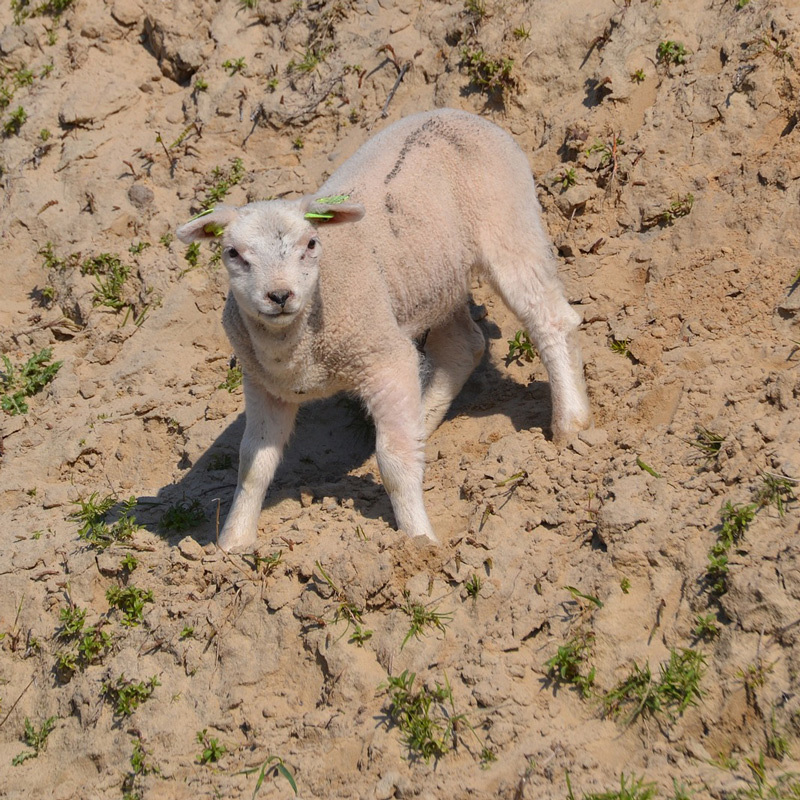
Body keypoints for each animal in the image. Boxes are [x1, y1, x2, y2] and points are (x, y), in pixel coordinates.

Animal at [178, 109, 592, 552]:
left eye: (311, 244)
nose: (279, 295)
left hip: (508, 221)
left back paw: (571, 424)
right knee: (462, 345)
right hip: (432, 277)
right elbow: (253, 464)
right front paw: (232, 545)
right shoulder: (264, 384)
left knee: (549, 319)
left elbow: (394, 461)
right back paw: (422, 423)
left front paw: (418, 540)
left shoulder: (382, 357)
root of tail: (458, 113)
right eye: (233, 253)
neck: (297, 345)